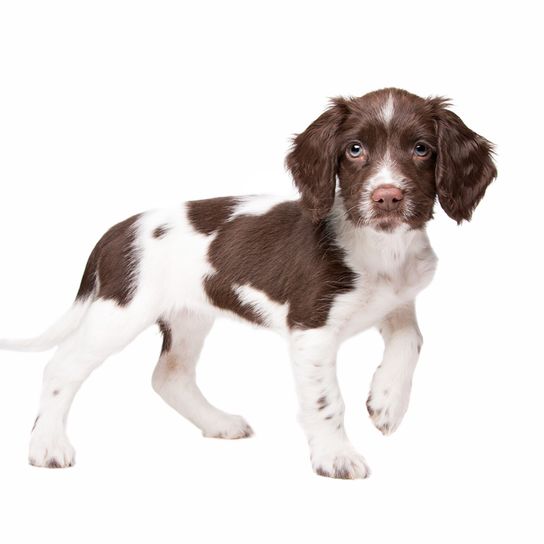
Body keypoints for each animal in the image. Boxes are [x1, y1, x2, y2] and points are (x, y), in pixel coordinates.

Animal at [0, 89, 498, 480]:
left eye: (422, 149)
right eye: (354, 149)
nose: (387, 197)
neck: (381, 249)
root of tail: (118, 230)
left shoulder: (397, 303)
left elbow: (411, 340)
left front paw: (386, 403)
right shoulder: (310, 330)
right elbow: (326, 400)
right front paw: (335, 457)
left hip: (188, 316)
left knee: (169, 376)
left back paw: (218, 423)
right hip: (119, 311)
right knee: (61, 367)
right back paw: (46, 446)